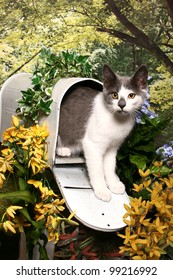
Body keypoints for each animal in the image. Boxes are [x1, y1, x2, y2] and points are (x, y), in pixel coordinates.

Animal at [56, 64, 147, 201]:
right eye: (114, 95)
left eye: (131, 95)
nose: (121, 104)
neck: (118, 121)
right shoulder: (92, 145)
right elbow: (97, 169)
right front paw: (102, 190)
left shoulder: (113, 147)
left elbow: (110, 165)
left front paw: (114, 184)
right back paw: (63, 149)